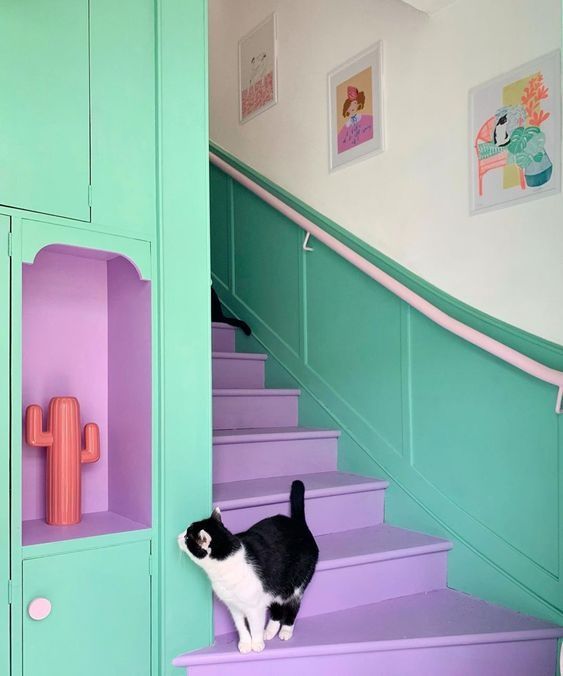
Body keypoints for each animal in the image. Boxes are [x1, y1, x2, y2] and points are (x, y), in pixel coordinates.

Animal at [177, 480, 318, 656]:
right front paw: (245, 643)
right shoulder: (233, 607)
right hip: (276, 586)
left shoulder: (255, 607)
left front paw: (256, 643)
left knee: (293, 605)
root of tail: (298, 524)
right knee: (277, 608)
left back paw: (285, 630)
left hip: (296, 583)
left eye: (187, 537)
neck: (226, 566)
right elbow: (241, 626)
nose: (178, 536)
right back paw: (270, 631)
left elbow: (255, 625)